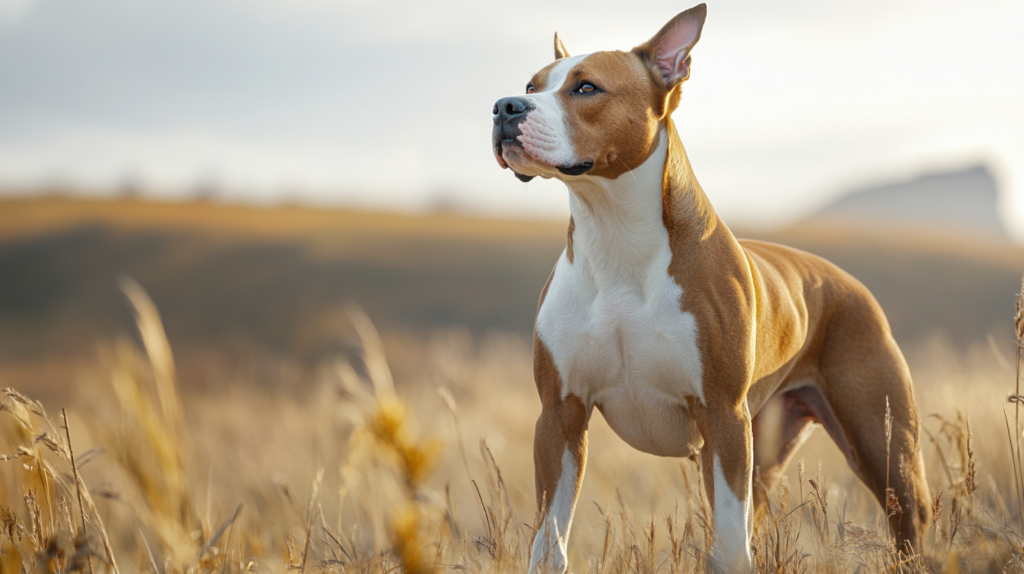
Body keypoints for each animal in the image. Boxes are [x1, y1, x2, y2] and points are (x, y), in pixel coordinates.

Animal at [491, 3, 933, 568]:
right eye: (532, 84)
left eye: (586, 88)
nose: (504, 106)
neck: (613, 236)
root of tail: (849, 282)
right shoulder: (560, 416)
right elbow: (550, 543)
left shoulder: (721, 418)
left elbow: (728, 547)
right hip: (765, 450)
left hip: (884, 446)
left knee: (906, 522)